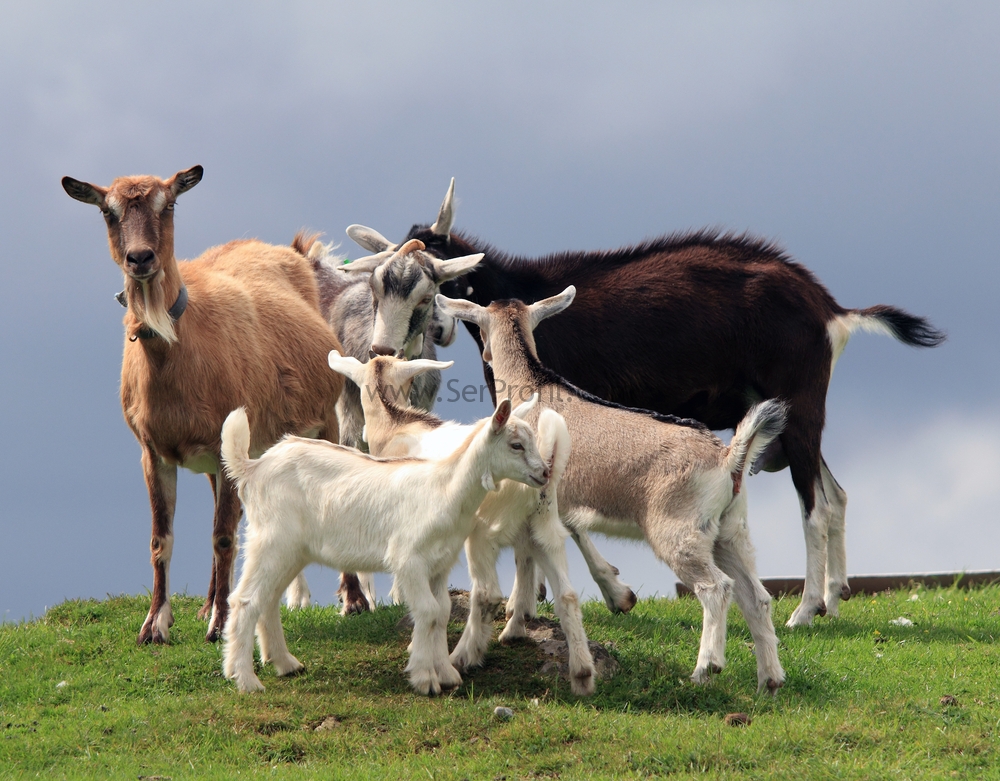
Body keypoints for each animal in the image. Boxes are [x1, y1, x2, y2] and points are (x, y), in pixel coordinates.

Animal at [63, 166, 344, 644]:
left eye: (169, 204)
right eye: (107, 211)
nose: (141, 258)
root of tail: (293, 252)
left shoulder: (222, 439)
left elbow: (223, 536)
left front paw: (219, 627)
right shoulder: (153, 451)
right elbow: (161, 538)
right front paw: (156, 625)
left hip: (326, 421)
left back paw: (354, 601)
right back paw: (213, 601)